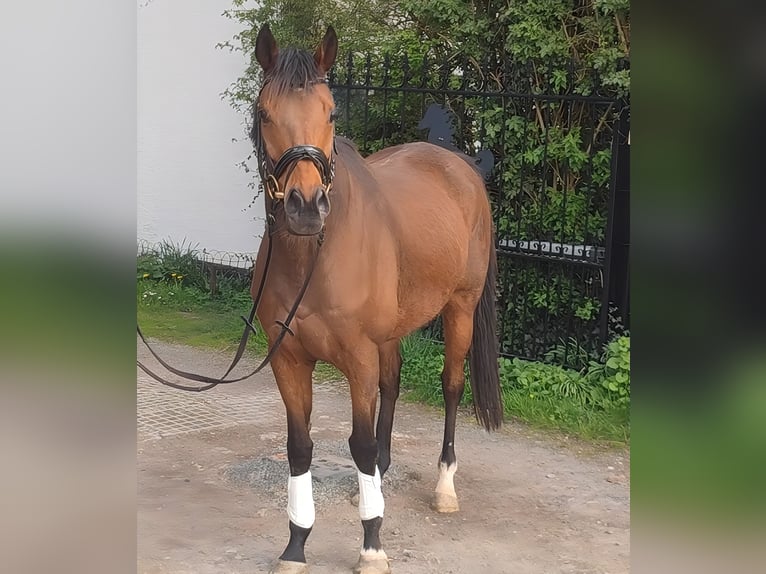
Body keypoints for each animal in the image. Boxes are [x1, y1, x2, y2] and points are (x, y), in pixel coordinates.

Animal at [250, 24, 503, 574]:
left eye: (330, 111)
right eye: (264, 112)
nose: (305, 207)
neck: (314, 257)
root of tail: (459, 164)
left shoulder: (358, 358)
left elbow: (360, 445)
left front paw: (371, 545)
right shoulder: (288, 358)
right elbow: (299, 447)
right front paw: (296, 545)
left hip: (461, 308)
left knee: (451, 386)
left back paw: (444, 486)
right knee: (393, 383)